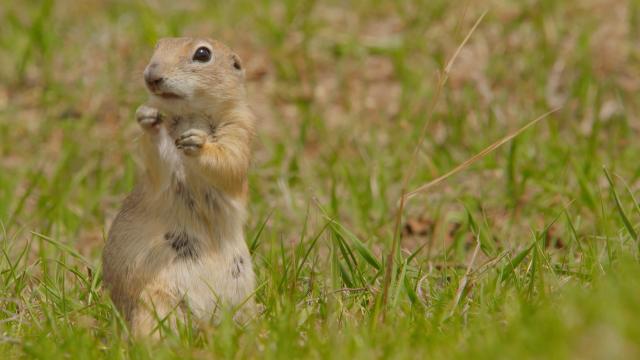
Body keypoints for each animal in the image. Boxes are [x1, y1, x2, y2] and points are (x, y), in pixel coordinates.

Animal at [102, 37, 255, 338]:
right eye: (158, 47)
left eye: (203, 54)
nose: (151, 75)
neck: (191, 115)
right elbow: (160, 168)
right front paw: (148, 117)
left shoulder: (240, 127)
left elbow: (230, 160)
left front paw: (199, 143)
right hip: (156, 301)